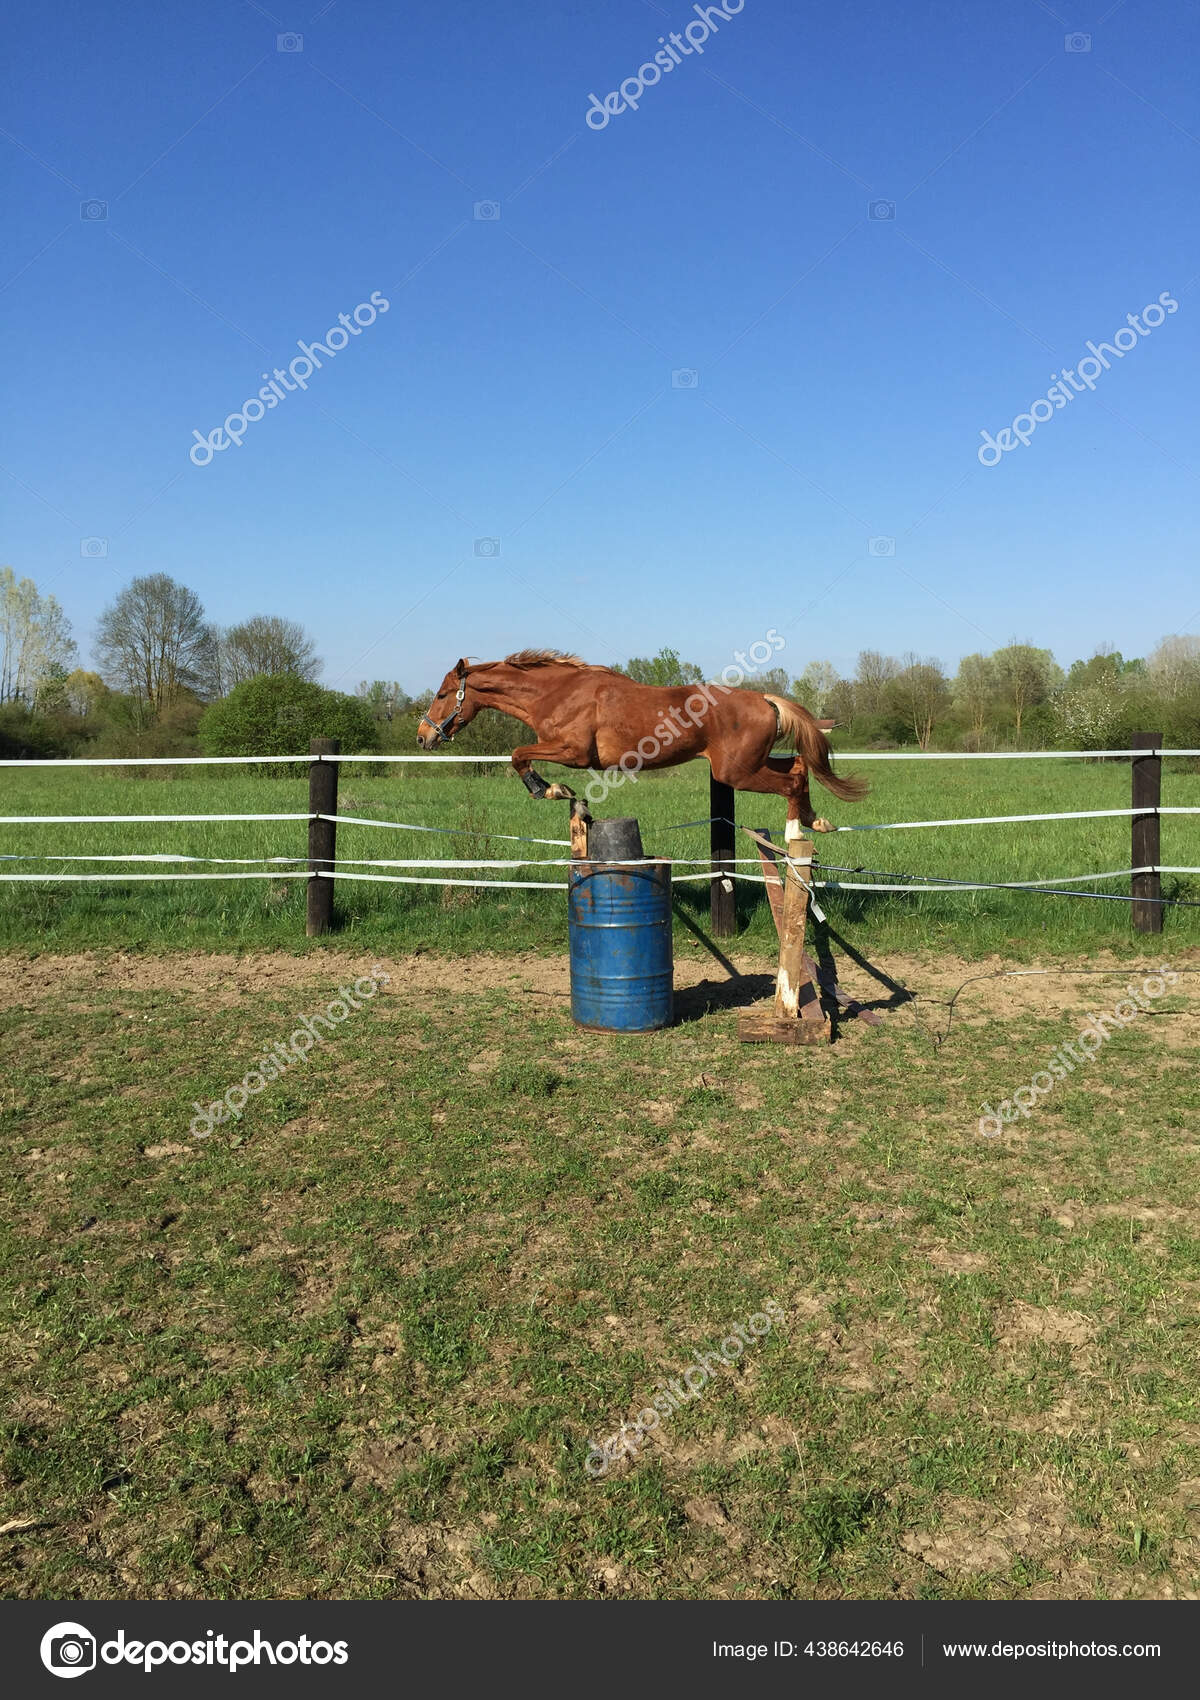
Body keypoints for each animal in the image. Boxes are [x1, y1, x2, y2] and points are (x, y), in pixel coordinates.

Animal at [416, 649, 863, 829]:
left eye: (441, 694)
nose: (422, 737)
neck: (556, 692)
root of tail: (765, 699)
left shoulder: (574, 753)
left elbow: (518, 754)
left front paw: (550, 789)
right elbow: (520, 754)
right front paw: (559, 792)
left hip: (736, 772)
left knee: (789, 782)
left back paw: (798, 830)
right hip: (747, 764)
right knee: (800, 767)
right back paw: (816, 820)